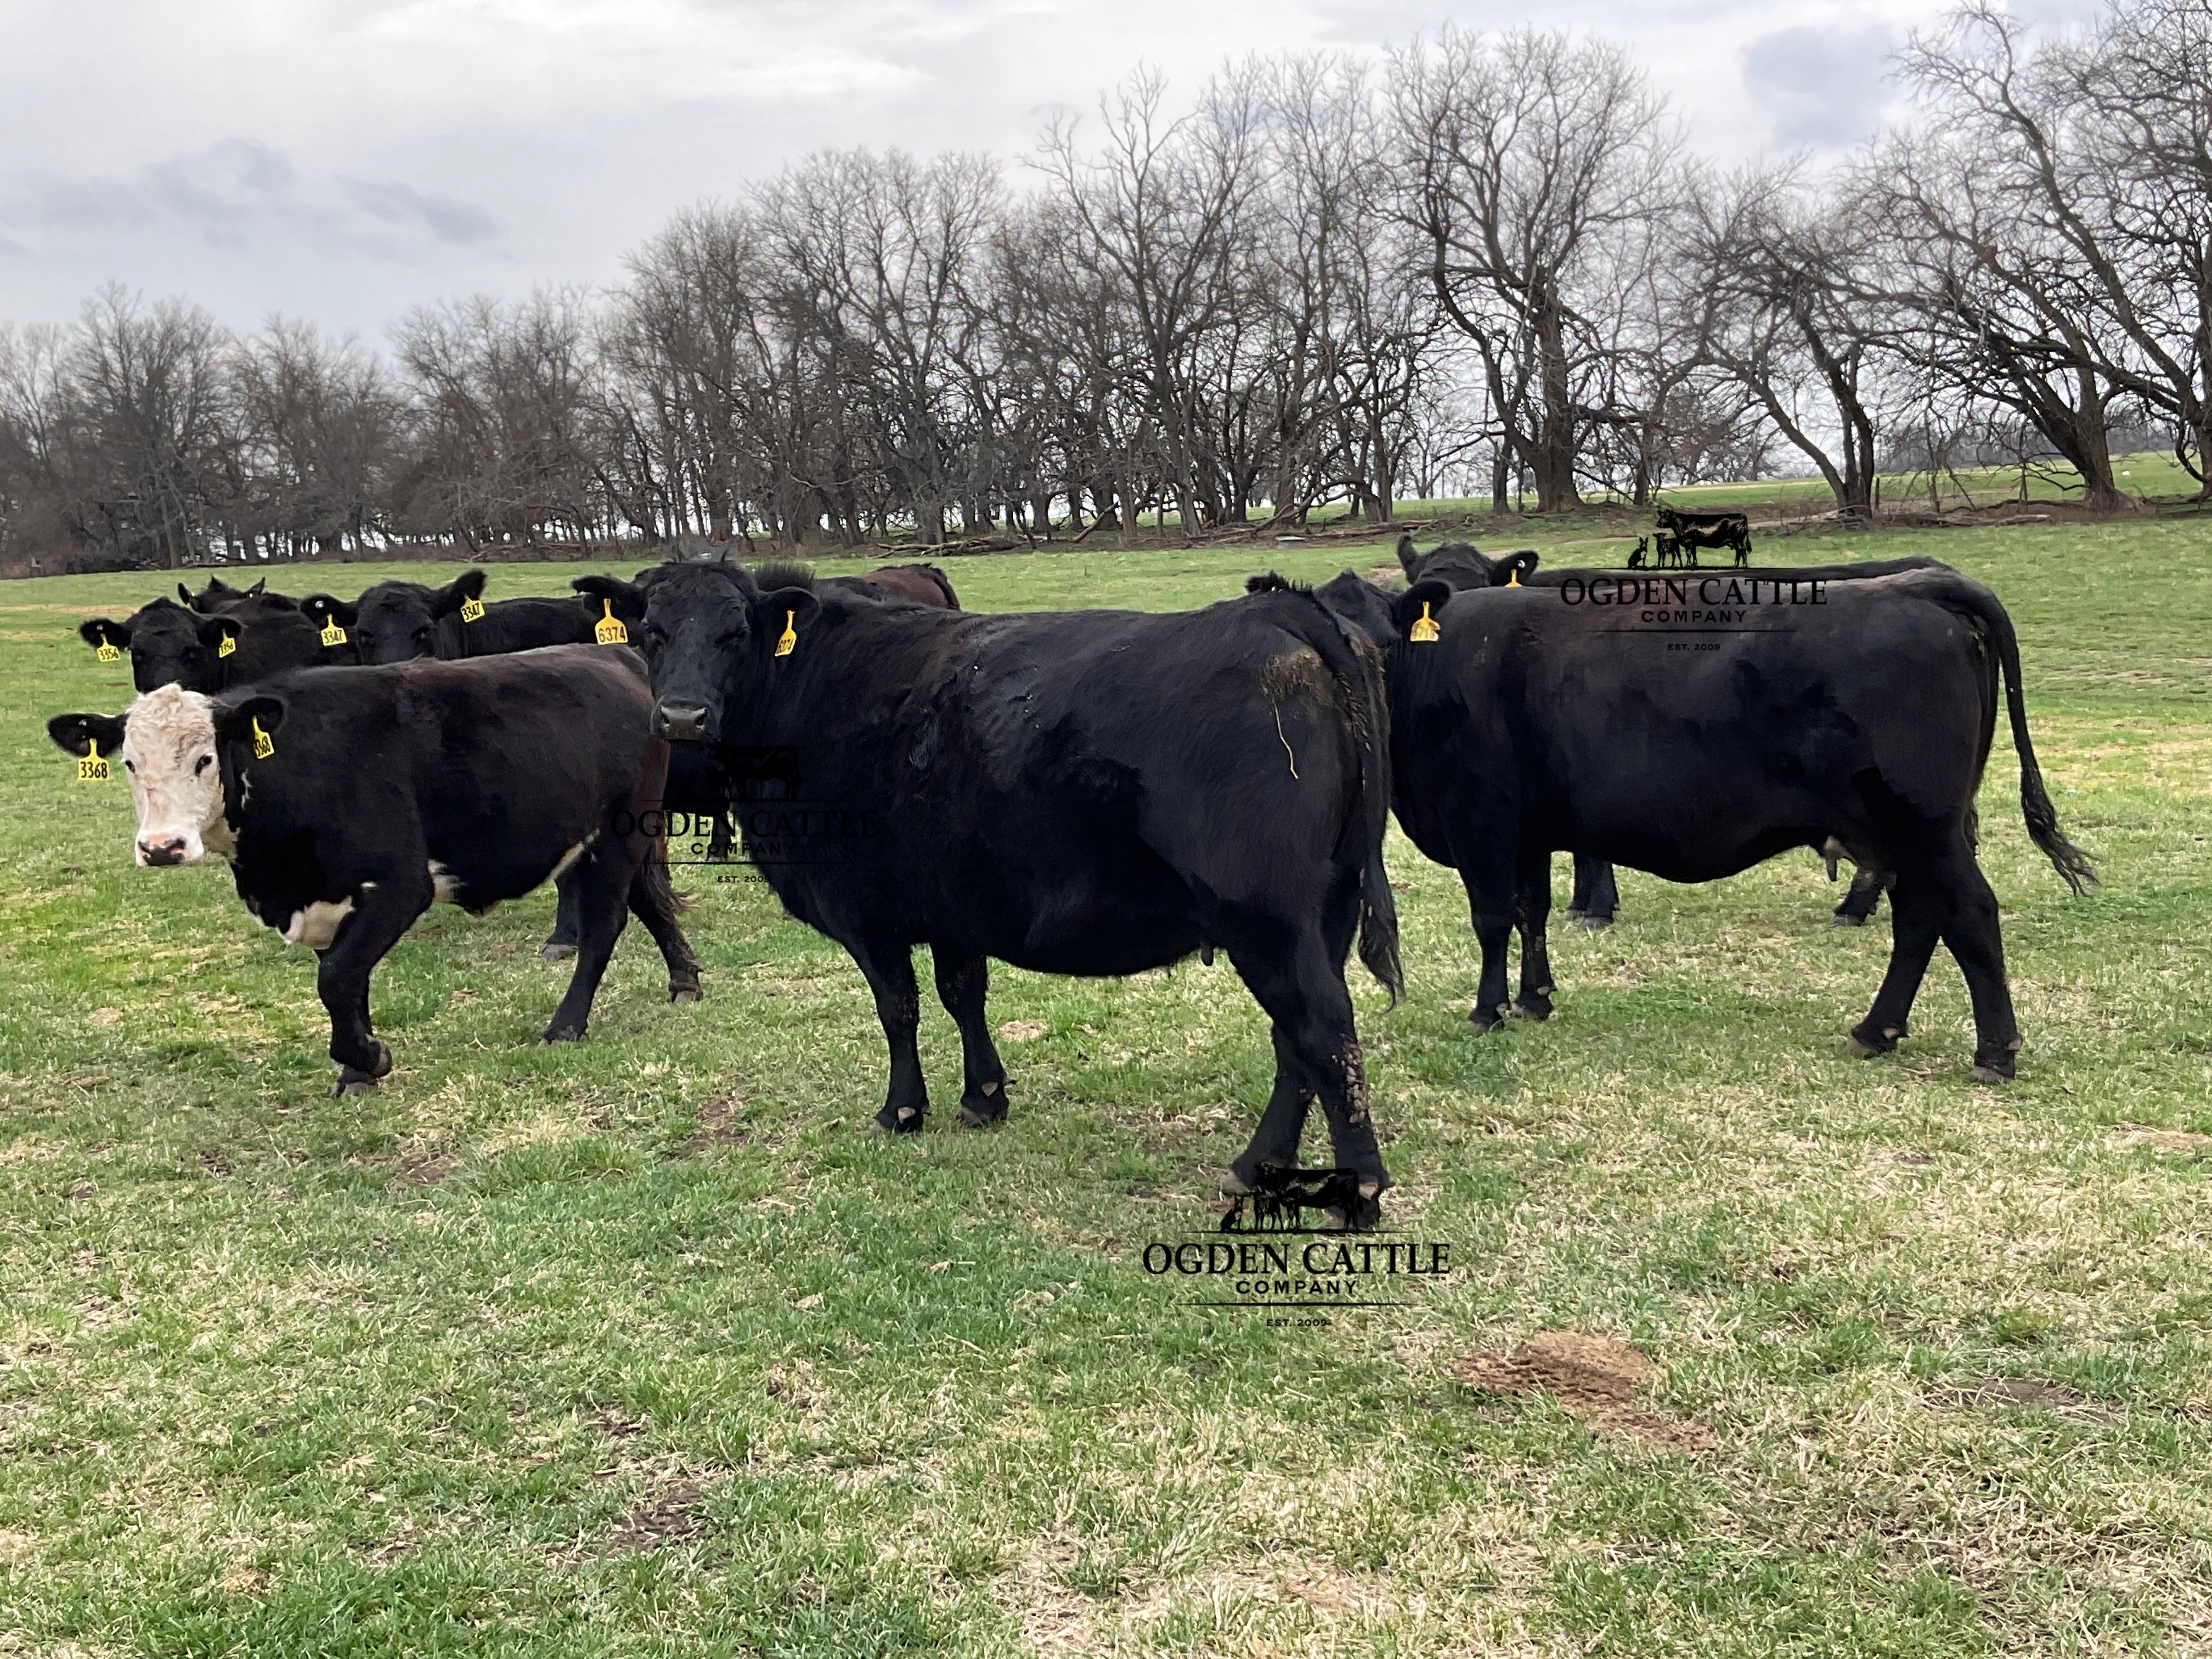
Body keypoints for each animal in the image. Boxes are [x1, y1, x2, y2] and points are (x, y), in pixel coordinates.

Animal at [47, 647, 701, 1095]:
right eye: (130, 764)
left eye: (205, 758)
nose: (162, 846)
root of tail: (613, 656)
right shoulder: (323, 899)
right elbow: (346, 980)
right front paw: (355, 1070)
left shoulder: (400, 886)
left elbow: (335, 978)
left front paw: (368, 1059)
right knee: (648, 903)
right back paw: (684, 981)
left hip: (618, 836)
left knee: (604, 925)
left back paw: (565, 1025)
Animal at [572, 559, 1403, 1224]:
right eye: (650, 631)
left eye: (735, 632)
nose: (683, 715)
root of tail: (1283, 611)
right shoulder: (952, 904)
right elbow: (961, 993)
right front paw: (984, 1098)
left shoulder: (865, 908)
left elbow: (898, 1008)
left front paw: (902, 1110)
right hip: (1323, 911)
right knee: (1298, 1042)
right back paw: (1256, 1168)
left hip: (1268, 919)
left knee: (1323, 1029)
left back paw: (1357, 1192)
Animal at [1308, 563, 2093, 1081]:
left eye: (1378, 642)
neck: (1436, 669)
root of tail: (1916, 583)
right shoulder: (1527, 830)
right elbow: (1532, 913)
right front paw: (1535, 999)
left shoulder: (1482, 823)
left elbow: (1493, 919)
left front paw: (1487, 1009)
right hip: (1901, 833)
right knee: (1923, 918)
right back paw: (1877, 1031)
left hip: (1922, 824)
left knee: (1970, 914)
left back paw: (1993, 1053)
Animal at [1653, 505, 1752, 568]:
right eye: (1661, 516)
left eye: (1667, 517)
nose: (1658, 524)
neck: (1682, 525)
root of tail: (1741, 515)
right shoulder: (1693, 543)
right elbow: (1694, 553)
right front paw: (1695, 565)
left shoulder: (1688, 541)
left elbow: (1688, 553)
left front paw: (1688, 565)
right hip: (1735, 541)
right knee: (1739, 552)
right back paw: (1736, 565)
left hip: (1738, 540)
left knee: (1742, 550)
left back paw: (1744, 565)